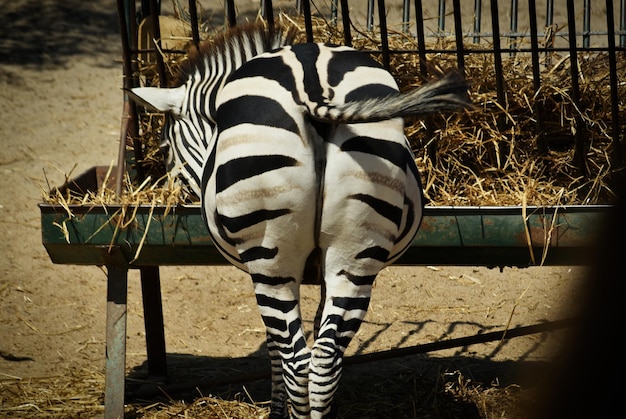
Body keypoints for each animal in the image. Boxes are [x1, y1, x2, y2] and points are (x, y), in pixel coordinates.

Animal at [128, 21, 468, 419]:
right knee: (324, 359)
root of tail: (312, 85)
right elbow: (319, 327)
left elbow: (275, 347)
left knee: (296, 357)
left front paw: (277, 408)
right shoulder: (323, 268)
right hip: (356, 253)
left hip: (270, 259)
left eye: (165, 148)